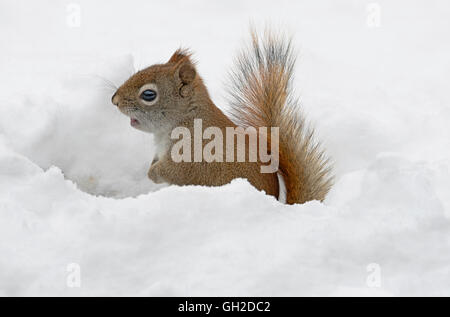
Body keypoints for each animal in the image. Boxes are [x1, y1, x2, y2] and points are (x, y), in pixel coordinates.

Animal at [110, 29, 332, 202]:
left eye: (148, 94)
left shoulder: (191, 154)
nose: (114, 100)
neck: (186, 118)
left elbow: (175, 172)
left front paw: (152, 173)